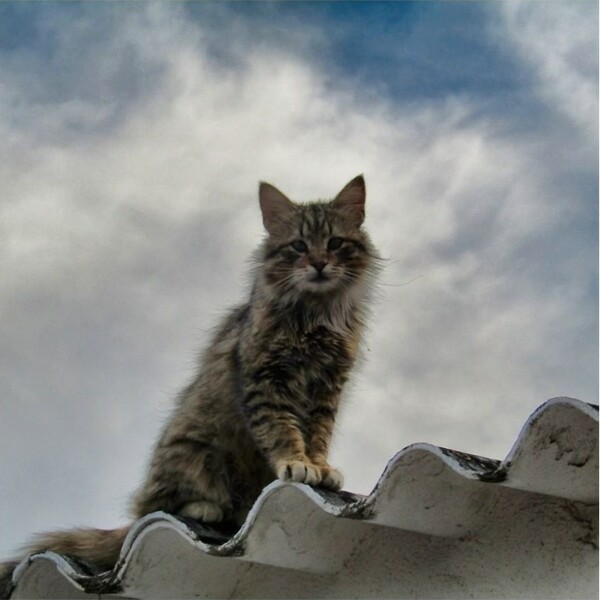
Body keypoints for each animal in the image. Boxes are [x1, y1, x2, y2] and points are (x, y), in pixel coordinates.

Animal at [0, 175, 380, 596]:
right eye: (298, 245)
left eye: (335, 243)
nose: (318, 263)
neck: (316, 313)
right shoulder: (265, 382)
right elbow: (283, 432)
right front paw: (297, 463)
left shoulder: (327, 389)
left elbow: (318, 436)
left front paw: (319, 465)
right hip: (192, 452)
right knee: (155, 507)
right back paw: (205, 507)